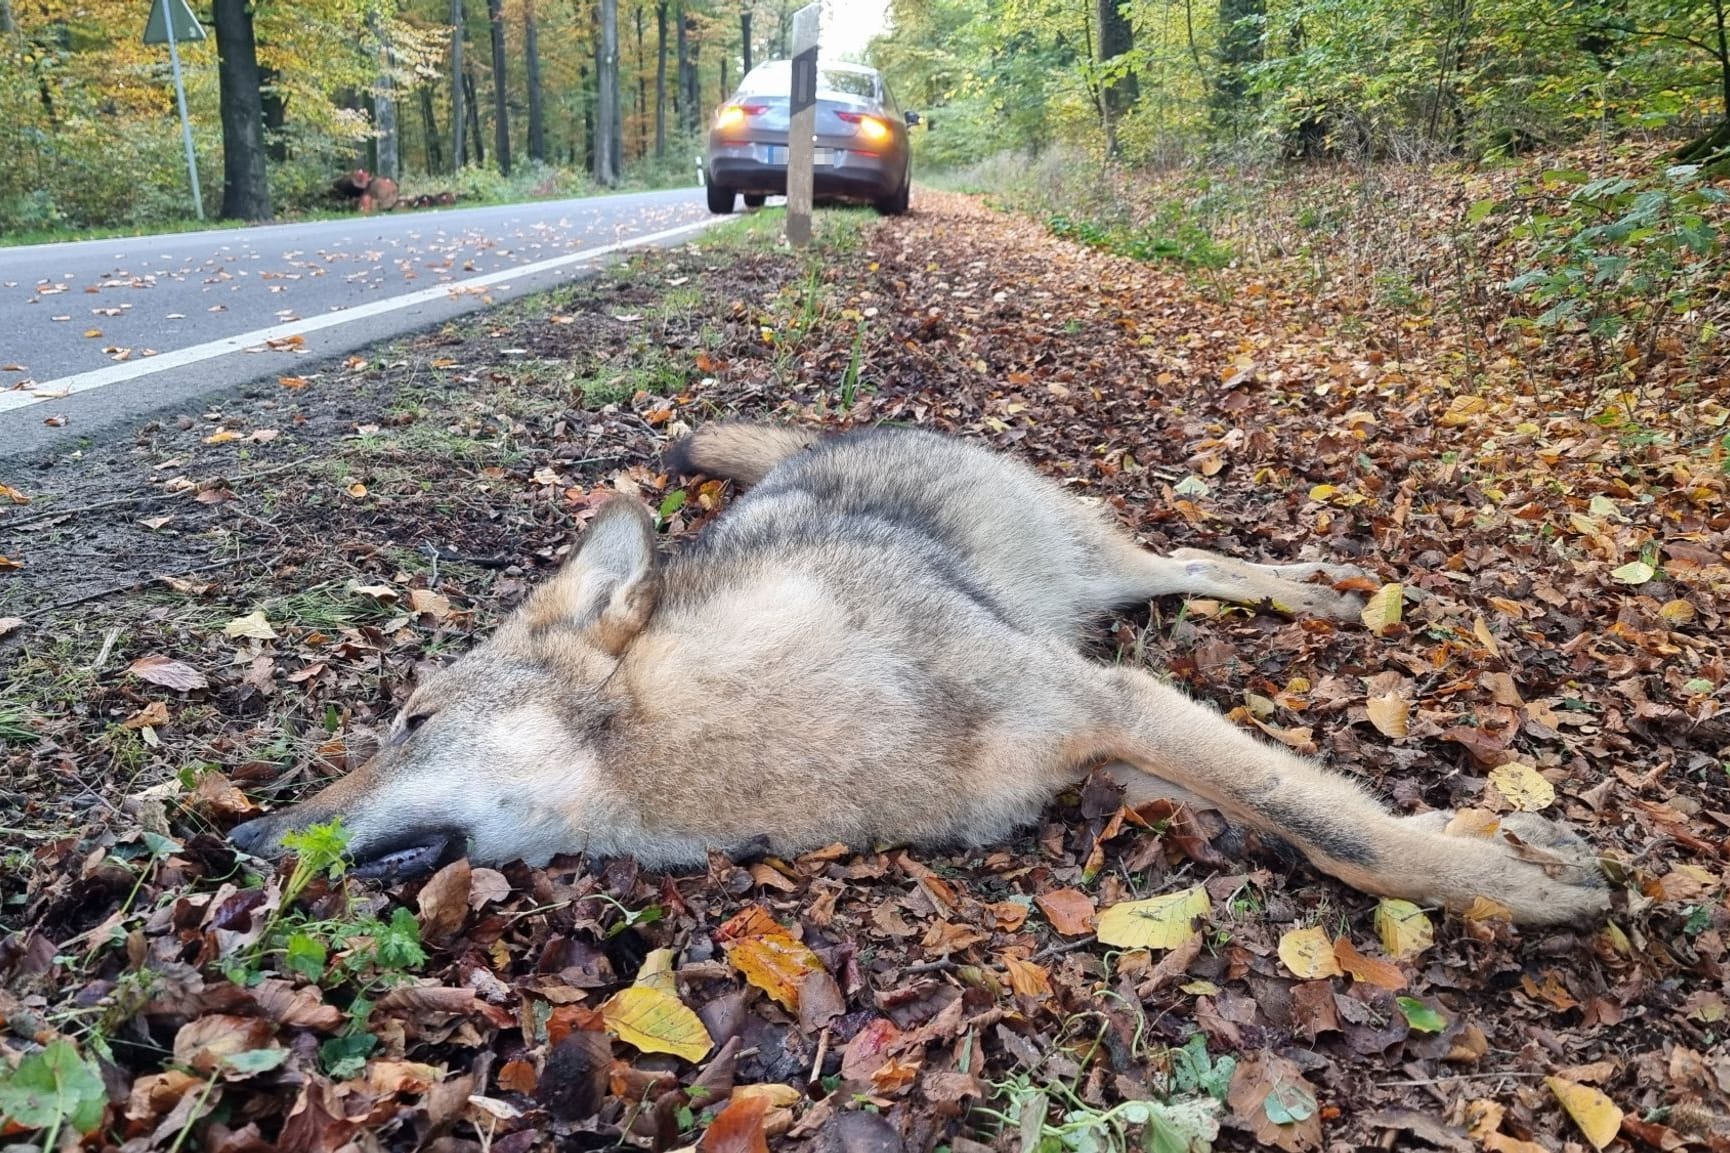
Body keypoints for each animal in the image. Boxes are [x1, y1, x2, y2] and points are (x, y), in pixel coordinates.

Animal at [230, 422, 1605, 927]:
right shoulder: (1111, 755)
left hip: (1095, 577)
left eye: (408, 721)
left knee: (1192, 557)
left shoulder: (1105, 701)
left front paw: (1509, 881)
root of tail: (841, 431)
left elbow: (1345, 832)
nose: (237, 842)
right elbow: (1306, 812)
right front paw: (1493, 841)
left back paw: (1314, 590)